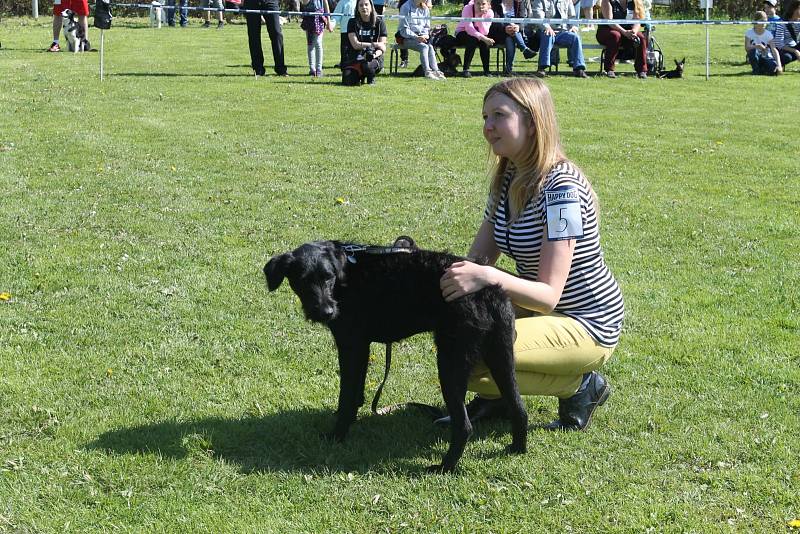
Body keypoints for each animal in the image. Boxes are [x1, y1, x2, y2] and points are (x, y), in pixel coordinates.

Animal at [262, 239, 528, 474]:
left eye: (328, 277)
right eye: (303, 280)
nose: (326, 312)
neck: (344, 279)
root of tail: (489, 290)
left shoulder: (351, 345)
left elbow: (346, 396)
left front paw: (337, 434)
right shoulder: (361, 348)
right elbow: (356, 391)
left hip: (450, 362)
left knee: (464, 426)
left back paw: (444, 468)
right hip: (502, 356)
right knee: (519, 408)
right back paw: (516, 449)